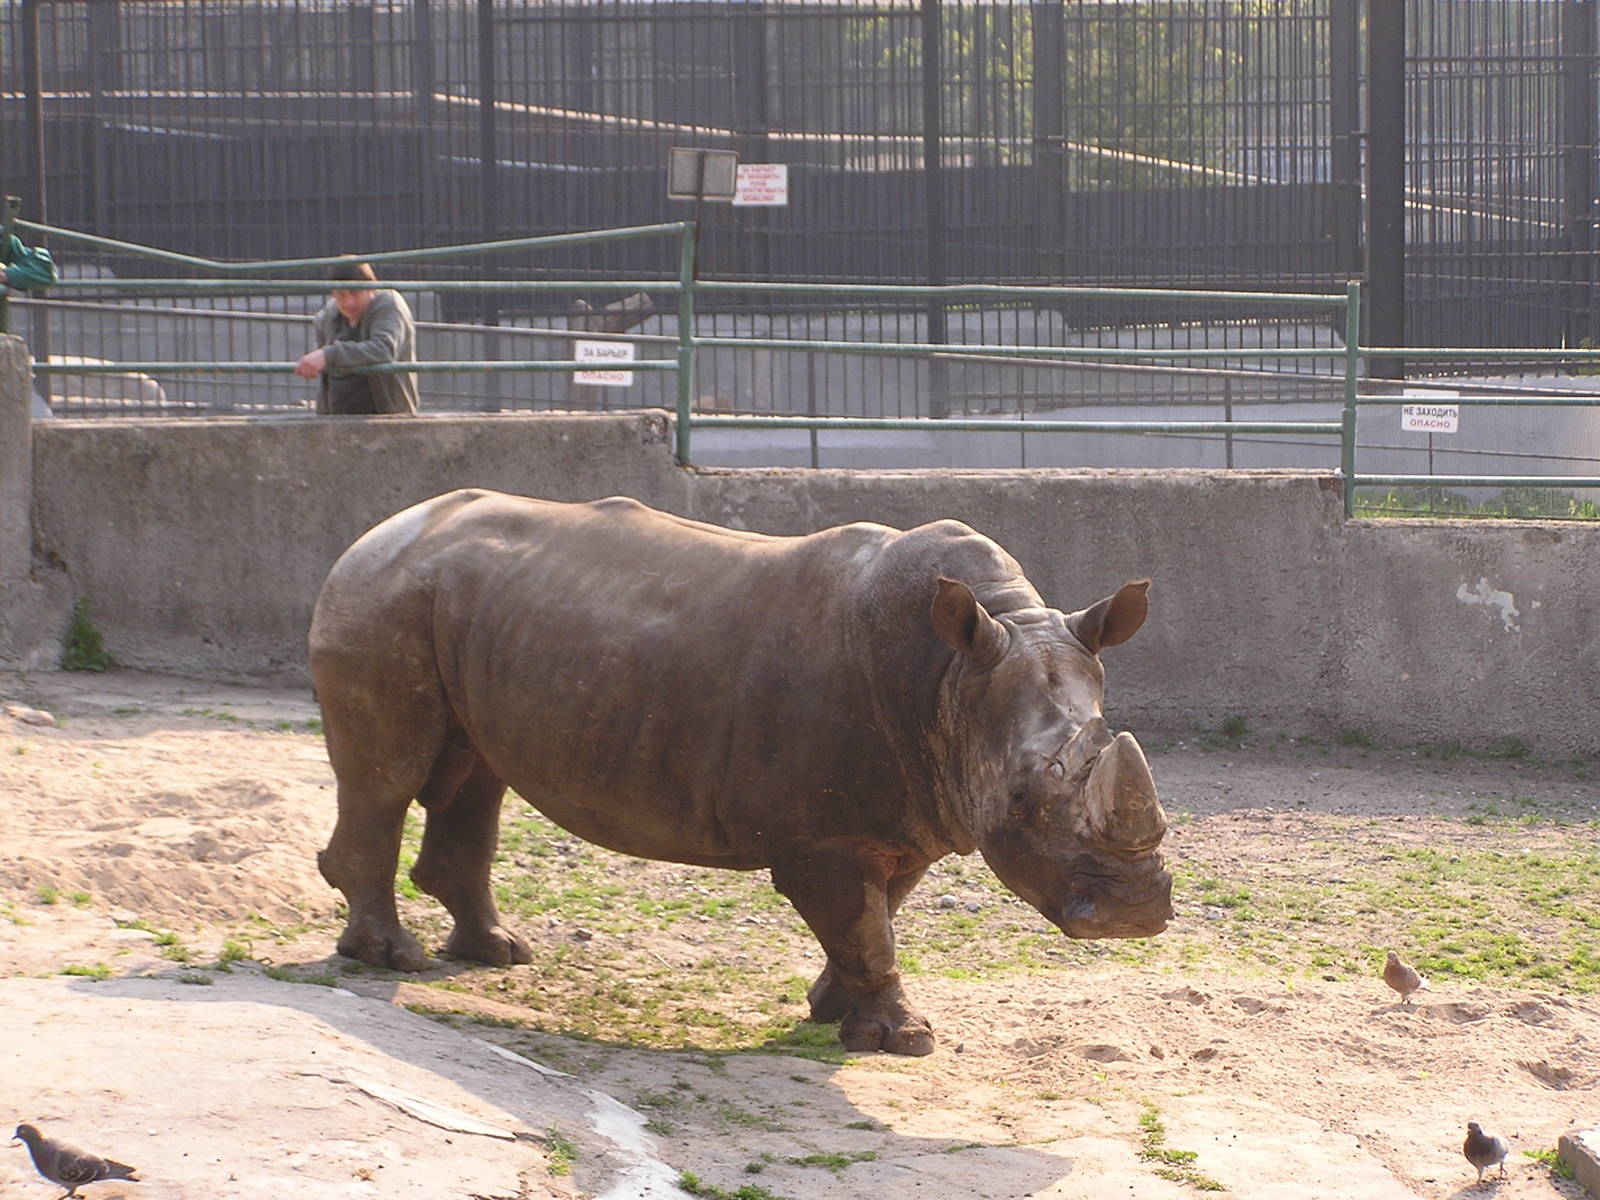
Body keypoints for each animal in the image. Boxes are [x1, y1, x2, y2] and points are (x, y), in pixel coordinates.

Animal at [311, 489, 1171, 1055]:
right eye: (1023, 799)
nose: (1132, 917)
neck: (953, 676)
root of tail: (372, 532)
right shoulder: (826, 837)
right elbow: (864, 923)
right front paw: (902, 1040)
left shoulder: (913, 810)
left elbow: (877, 915)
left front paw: (830, 1011)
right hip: (382, 597)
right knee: (389, 780)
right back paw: (393, 959)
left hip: (461, 611)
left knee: (474, 773)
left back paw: (493, 953)